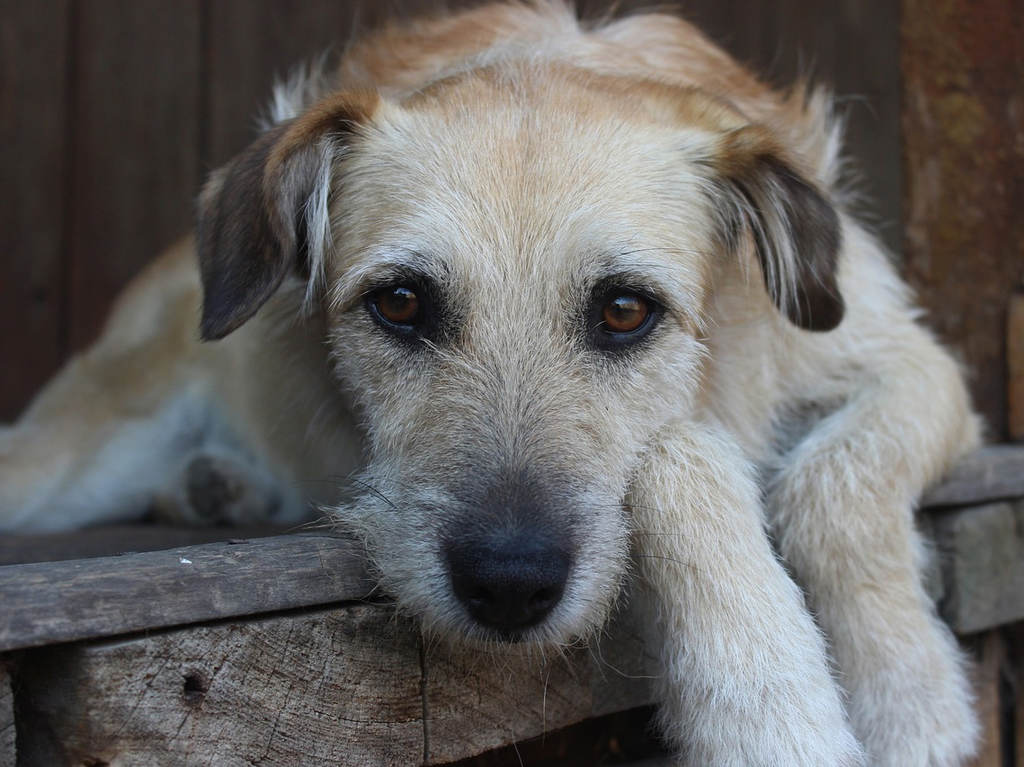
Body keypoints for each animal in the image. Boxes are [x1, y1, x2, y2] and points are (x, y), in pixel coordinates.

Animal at [0, 2, 978, 761]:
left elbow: (831, 483)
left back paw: (217, 486)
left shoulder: (915, 364)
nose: (510, 584)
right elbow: (685, 452)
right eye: (399, 303)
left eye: (626, 310)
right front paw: (772, 711)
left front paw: (908, 697)